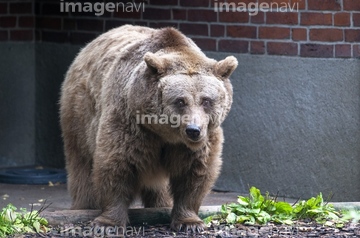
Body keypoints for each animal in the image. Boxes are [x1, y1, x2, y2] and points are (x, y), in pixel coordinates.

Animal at [59, 25, 236, 231]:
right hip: (80, 111)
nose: (193, 130)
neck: (165, 133)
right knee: (81, 161)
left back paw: (161, 204)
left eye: (206, 100)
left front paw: (189, 222)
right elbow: (116, 166)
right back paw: (84, 205)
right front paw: (107, 223)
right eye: (180, 101)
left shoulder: (198, 141)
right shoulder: (130, 122)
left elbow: (194, 173)